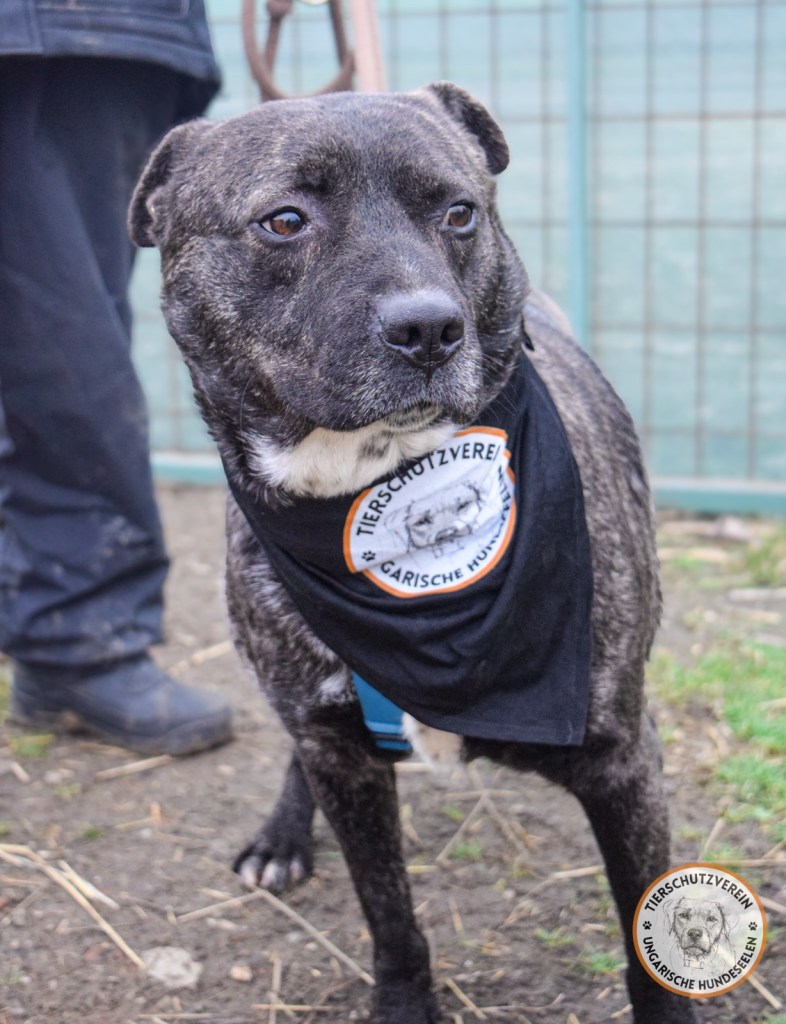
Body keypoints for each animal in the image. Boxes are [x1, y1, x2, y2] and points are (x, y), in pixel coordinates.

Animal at [129, 82, 696, 1024]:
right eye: (285, 220)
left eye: (460, 212)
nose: (430, 326)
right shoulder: (340, 752)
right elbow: (388, 913)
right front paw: (402, 999)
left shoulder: (623, 759)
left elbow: (648, 943)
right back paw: (283, 834)